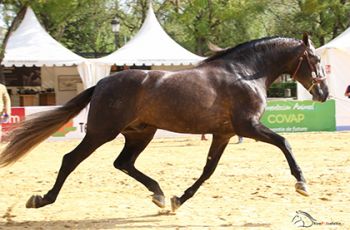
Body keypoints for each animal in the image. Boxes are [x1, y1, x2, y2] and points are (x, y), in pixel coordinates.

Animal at [0, 33, 328, 212]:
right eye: (314, 59)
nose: (324, 93)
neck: (245, 73)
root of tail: (104, 81)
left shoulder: (223, 134)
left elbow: (208, 170)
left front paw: (178, 199)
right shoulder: (247, 126)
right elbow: (284, 142)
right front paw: (302, 183)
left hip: (140, 133)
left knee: (123, 163)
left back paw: (158, 193)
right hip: (101, 132)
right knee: (71, 159)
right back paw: (42, 199)